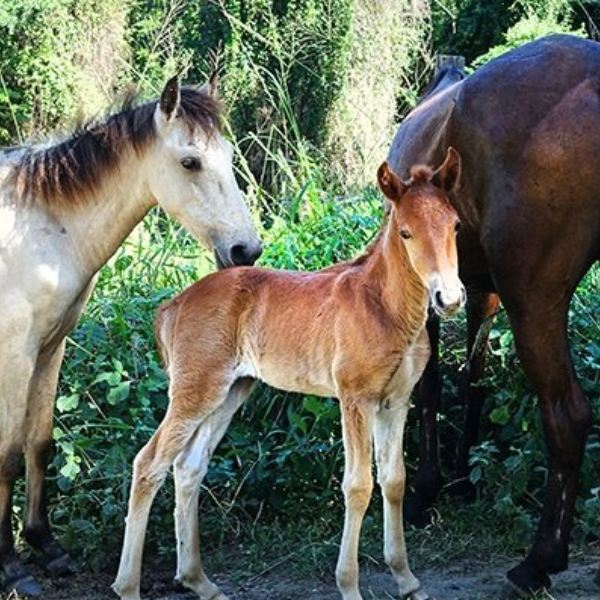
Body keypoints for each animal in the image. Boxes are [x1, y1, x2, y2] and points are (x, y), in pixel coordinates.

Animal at [0, 75, 260, 596]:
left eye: (227, 155)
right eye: (190, 161)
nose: (247, 250)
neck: (38, 230)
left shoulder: (49, 349)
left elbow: (39, 442)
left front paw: (46, 546)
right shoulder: (15, 355)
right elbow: (8, 454)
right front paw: (11, 566)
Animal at [115, 149, 466, 600]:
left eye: (455, 225)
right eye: (405, 233)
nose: (449, 298)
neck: (384, 307)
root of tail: (172, 305)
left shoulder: (395, 402)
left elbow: (394, 481)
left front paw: (406, 579)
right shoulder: (355, 399)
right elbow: (358, 486)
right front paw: (349, 584)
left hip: (230, 392)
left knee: (189, 467)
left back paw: (198, 580)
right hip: (195, 392)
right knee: (149, 464)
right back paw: (129, 585)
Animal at [386, 36, 600, 596]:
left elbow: (430, 387)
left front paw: (426, 490)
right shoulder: (479, 293)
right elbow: (473, 382)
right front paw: (462, 480)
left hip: (535, 301)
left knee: (567, 414)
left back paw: (539, 561)